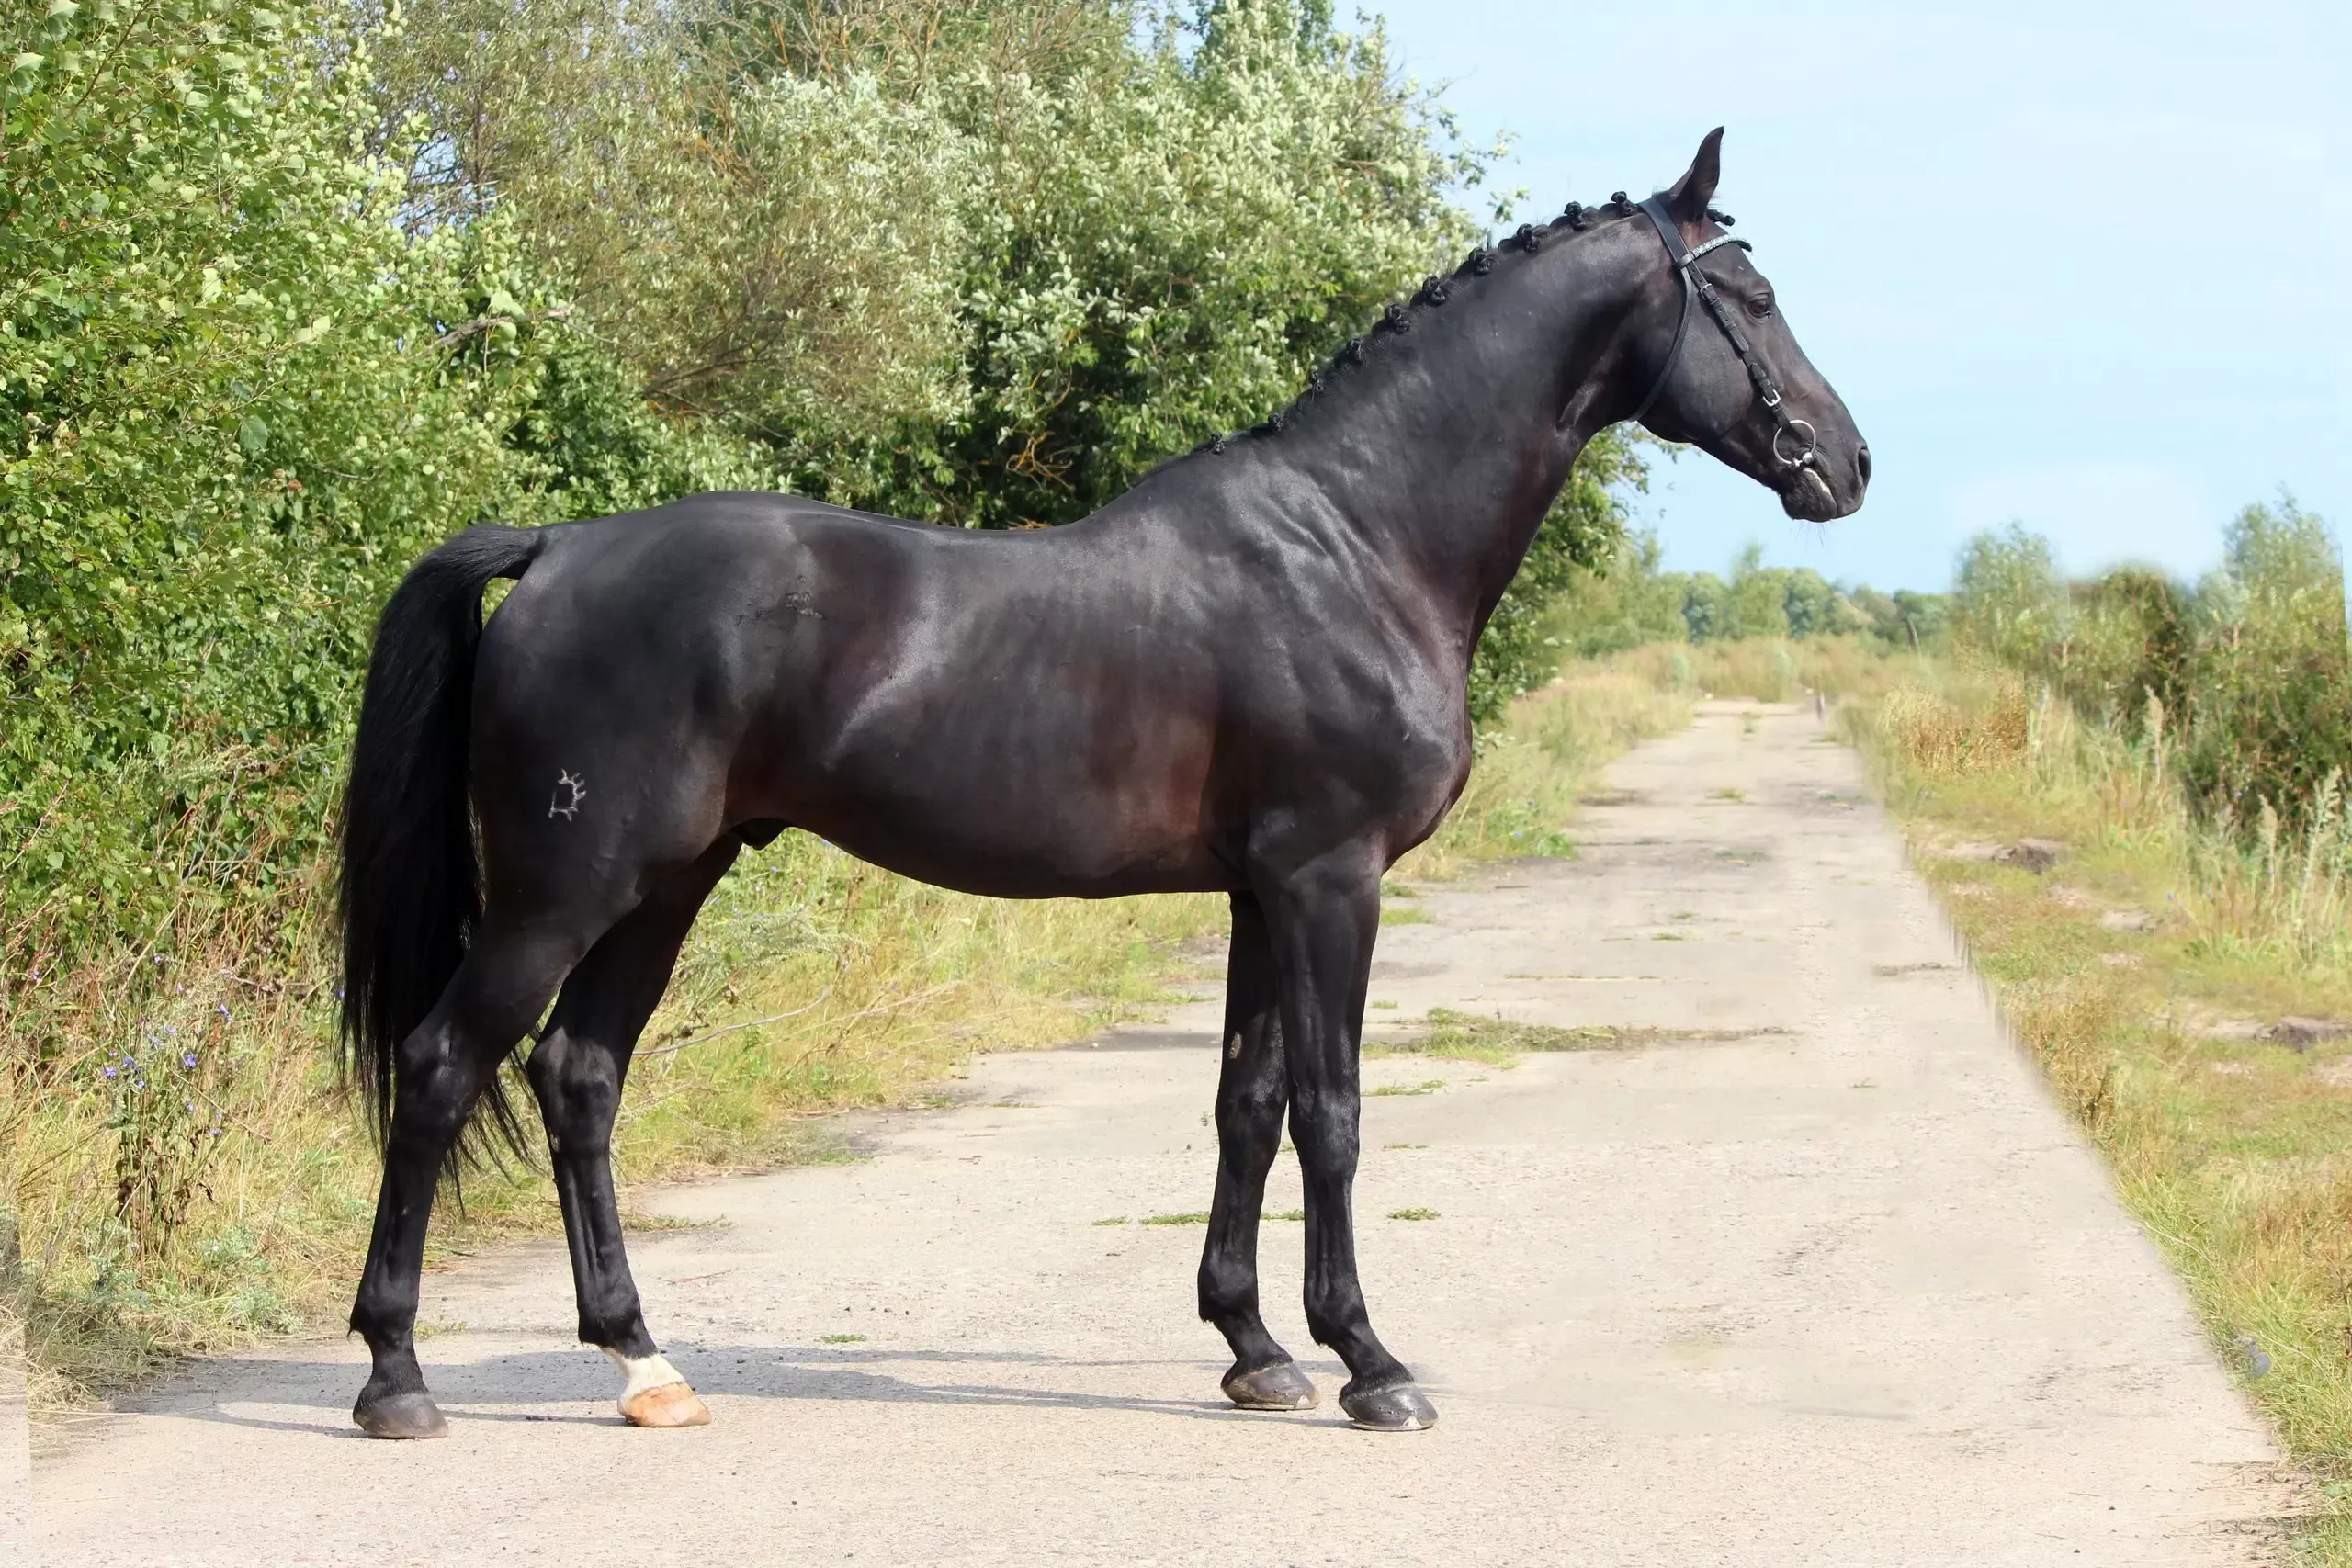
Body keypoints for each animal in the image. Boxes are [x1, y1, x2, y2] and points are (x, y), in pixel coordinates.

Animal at [341, 129, 1862, 1438]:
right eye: (1749, 295)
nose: (1844, 464)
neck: (1357, 540)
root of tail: (557, 548)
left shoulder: (1262, 889)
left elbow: (1249, 1105)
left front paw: (1255, 1349)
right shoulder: (1331, 880)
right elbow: (1333, 1113)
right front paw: (1371, 1360)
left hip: (666, 882)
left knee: (580, 1077)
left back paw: (643, 1361)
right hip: (564, 889)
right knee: (440, 1064)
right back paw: (397, 1375)